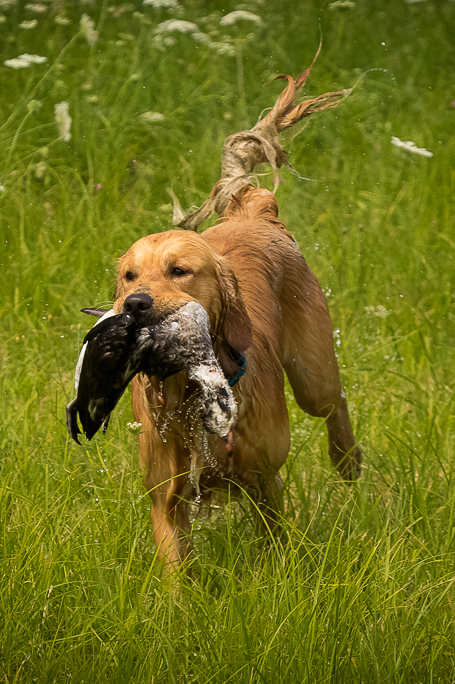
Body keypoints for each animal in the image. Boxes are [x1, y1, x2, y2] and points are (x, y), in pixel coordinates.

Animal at [114, 186, 364, 568]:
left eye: (179, 270)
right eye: (130, 275)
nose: (134, 303)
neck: (190, 392)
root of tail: (252, 212)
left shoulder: (265, 478)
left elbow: (273, 541)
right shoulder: (166, 498)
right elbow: (177, 571)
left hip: (313, 377)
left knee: (335, 402)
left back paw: (347, 459)